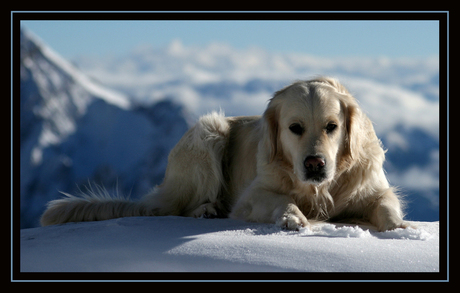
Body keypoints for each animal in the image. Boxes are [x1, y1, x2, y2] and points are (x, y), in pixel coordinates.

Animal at [40, 77, 406, 230]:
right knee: (177, 209)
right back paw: (207, 209)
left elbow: (386, 206)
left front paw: (400, 228)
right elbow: (282, 200)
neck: (320, 189)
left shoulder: (375, 189)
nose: (315, 164)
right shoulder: (252, 195)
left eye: (332, 126)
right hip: (208, 133)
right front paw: (293, 217)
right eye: (295, 128)